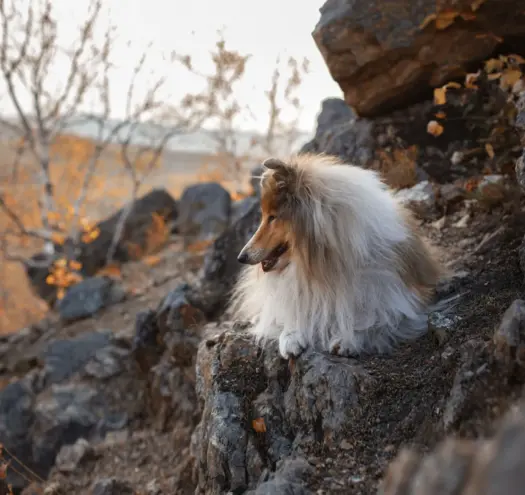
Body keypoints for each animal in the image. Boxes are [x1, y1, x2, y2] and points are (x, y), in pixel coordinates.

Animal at [229, 153, 446, 359]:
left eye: (273, 217)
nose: (241, 257)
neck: (325, 265)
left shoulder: (397, 302)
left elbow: (373, 322)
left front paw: (347, 340)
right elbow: (290, 315)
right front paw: (291, 337)